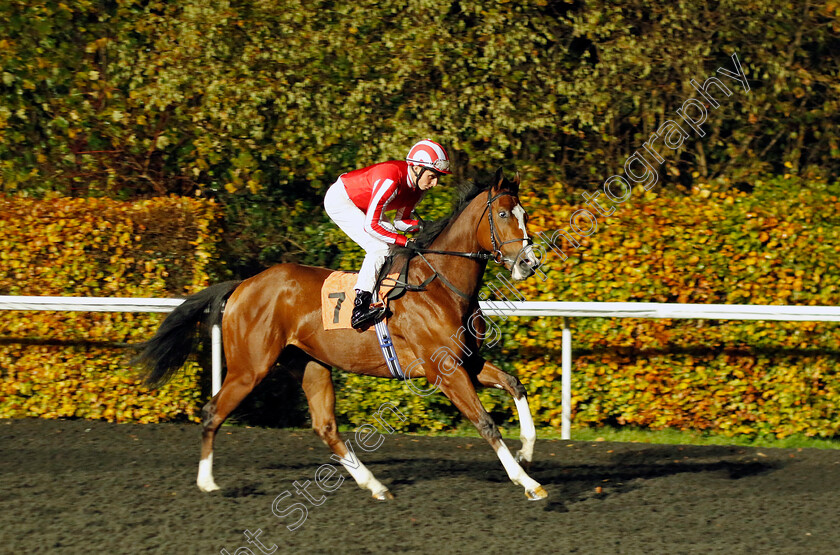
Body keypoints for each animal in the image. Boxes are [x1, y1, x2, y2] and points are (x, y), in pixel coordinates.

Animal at [138, 168, 548, 500]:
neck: (440, 285)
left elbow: (515, 384)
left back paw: (375, 485)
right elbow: (485, 422)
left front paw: (528, 451)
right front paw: (528, 483)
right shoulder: (443, 370)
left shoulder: (467, 361)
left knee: (326, 427)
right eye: (502, 214)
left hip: (310, 364)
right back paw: (207, 483)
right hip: (249, 368)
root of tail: (243, 285)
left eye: (525, 215)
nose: (529, 262)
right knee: (212, 412)